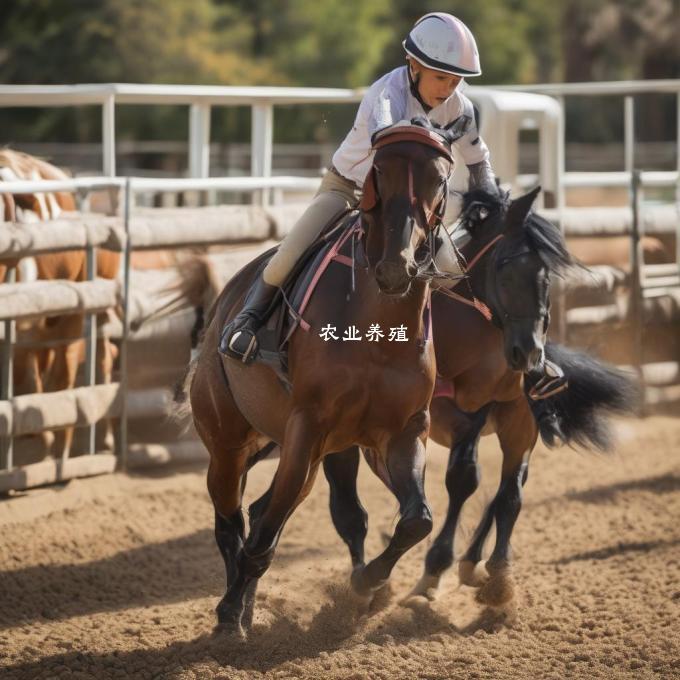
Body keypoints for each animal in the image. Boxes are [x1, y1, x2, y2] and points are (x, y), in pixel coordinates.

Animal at [322, 186, 636, 612]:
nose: (529, 353)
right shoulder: (448, 420)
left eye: (547, 276)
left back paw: (474, 564)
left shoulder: (510, 419)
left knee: (504, 487)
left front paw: (492, 572)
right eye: (503, 266)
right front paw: (431, 571)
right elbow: (463, 479)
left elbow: (506, 492)